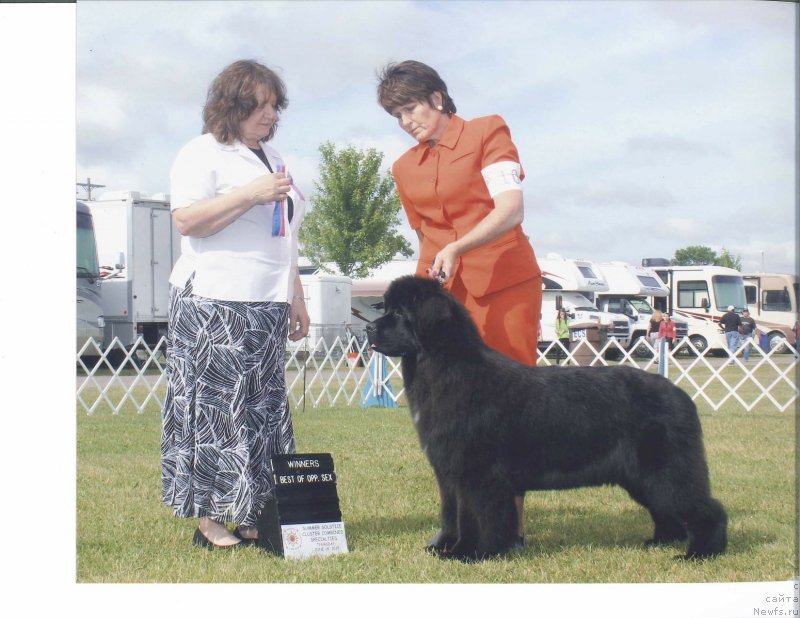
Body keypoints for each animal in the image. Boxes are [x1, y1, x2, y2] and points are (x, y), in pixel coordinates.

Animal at [366, 276, 728, 560]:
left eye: (399, 314)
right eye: (385, 309)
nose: (369, 328)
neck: (447, 369)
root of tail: (681, 395)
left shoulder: (475, 472)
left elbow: (473, 516)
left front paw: (468, 553)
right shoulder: (449, 472)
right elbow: (450, 513)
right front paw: (446, 547)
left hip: (667, 469)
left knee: (705, 508)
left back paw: (700, 553)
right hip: (644, 476)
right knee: (665, 510)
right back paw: (658, 542)